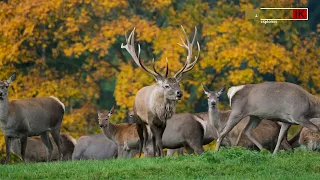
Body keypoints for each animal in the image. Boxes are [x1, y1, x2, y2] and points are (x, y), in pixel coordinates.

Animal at [122, 26, 200, 157]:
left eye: (178, 84)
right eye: (167, 86)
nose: (179, 93)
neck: (160, 112)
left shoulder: (163, 123)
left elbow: (160, 141)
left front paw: (159, 155)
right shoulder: (151, 120)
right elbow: (157, 140)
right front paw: (161, 156)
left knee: (151, 139)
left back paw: (155, 155)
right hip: (138, 119)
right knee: (142, 139)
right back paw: (141, 155)